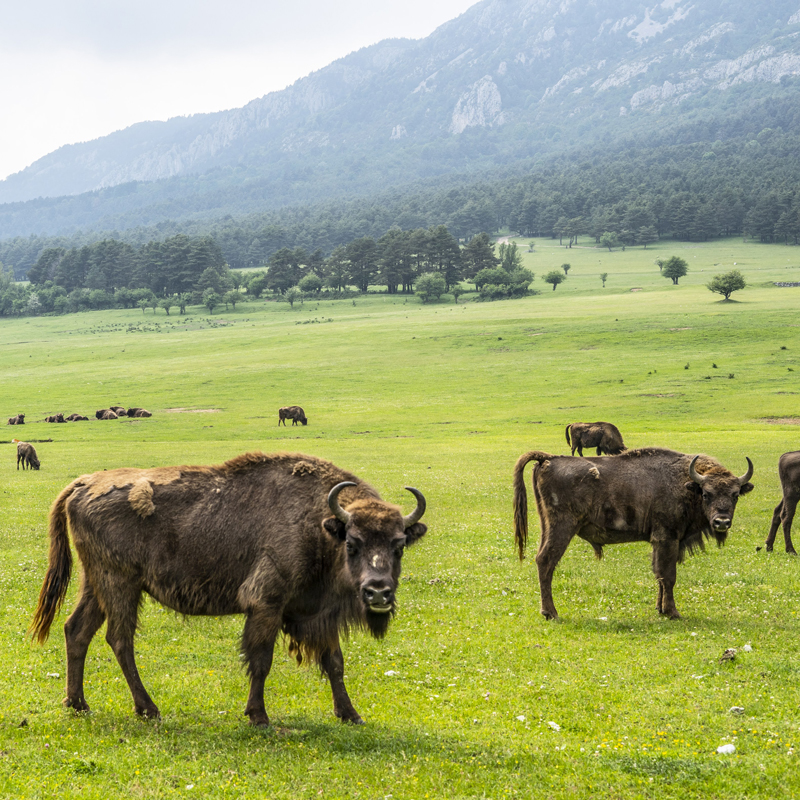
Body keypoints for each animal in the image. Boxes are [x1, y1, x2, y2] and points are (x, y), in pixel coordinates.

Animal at [30, 450, 428, 724]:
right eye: (353, 543)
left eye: (398, 545)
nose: (378, 592)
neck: (321, 525)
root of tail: (83, 483)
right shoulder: (267, 604)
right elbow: (261, 660)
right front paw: (259, 716)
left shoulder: (319, 614)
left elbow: (335, 663)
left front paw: (351, 714)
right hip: (120, 584)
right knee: (119, 639)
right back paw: (148, 709)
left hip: (95, 584)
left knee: (77, 631)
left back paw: (78, 704)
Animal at [516, 446, 752, 620]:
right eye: (706, 494)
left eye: (735, 495)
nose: (722, 522)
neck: (686, 482)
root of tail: (548, 459)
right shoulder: (667, 539)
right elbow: (668, 576)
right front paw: (673, 612)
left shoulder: (660, 542)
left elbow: (659, 575)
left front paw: (660, 609)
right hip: (563, 528)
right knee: (546, 561)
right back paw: (551, 613)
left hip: (546, 526)